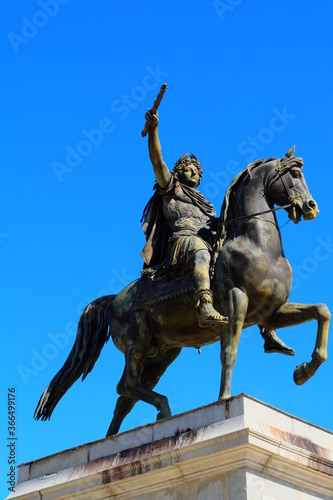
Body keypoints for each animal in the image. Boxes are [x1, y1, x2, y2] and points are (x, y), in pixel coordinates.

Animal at [34, 146, 330, 436]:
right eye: (295, 174)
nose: (311, 206)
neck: (256, 244)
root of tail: (114, 300)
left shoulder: (271, 312)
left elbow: (322, 311)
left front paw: (304, 371)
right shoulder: (236, 301)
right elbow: (229, 352)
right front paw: (225, 398)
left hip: (162, 354)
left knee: (125, 398)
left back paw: (113, 438)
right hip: (138, 342)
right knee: (125, 385)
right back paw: (162, 409)